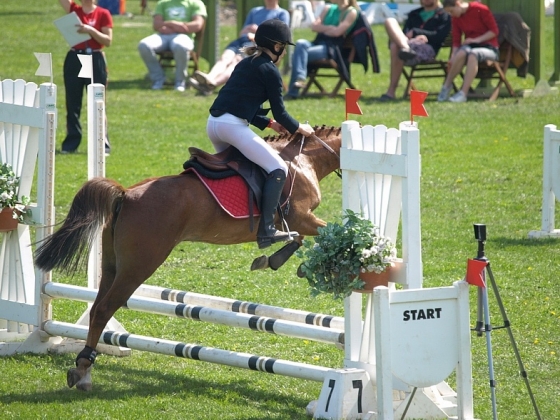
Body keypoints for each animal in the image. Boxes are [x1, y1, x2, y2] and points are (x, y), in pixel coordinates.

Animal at [35, 124, 344, 390]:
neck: (303, 160)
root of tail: (125, 194)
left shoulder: (298, 221)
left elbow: (303, 238)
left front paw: (275, 261)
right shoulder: (301, 217)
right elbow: (324, 232)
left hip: (112, 266)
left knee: (98, 307)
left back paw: (84, 367)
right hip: (139, 266)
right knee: (104, 309)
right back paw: (83, 370)